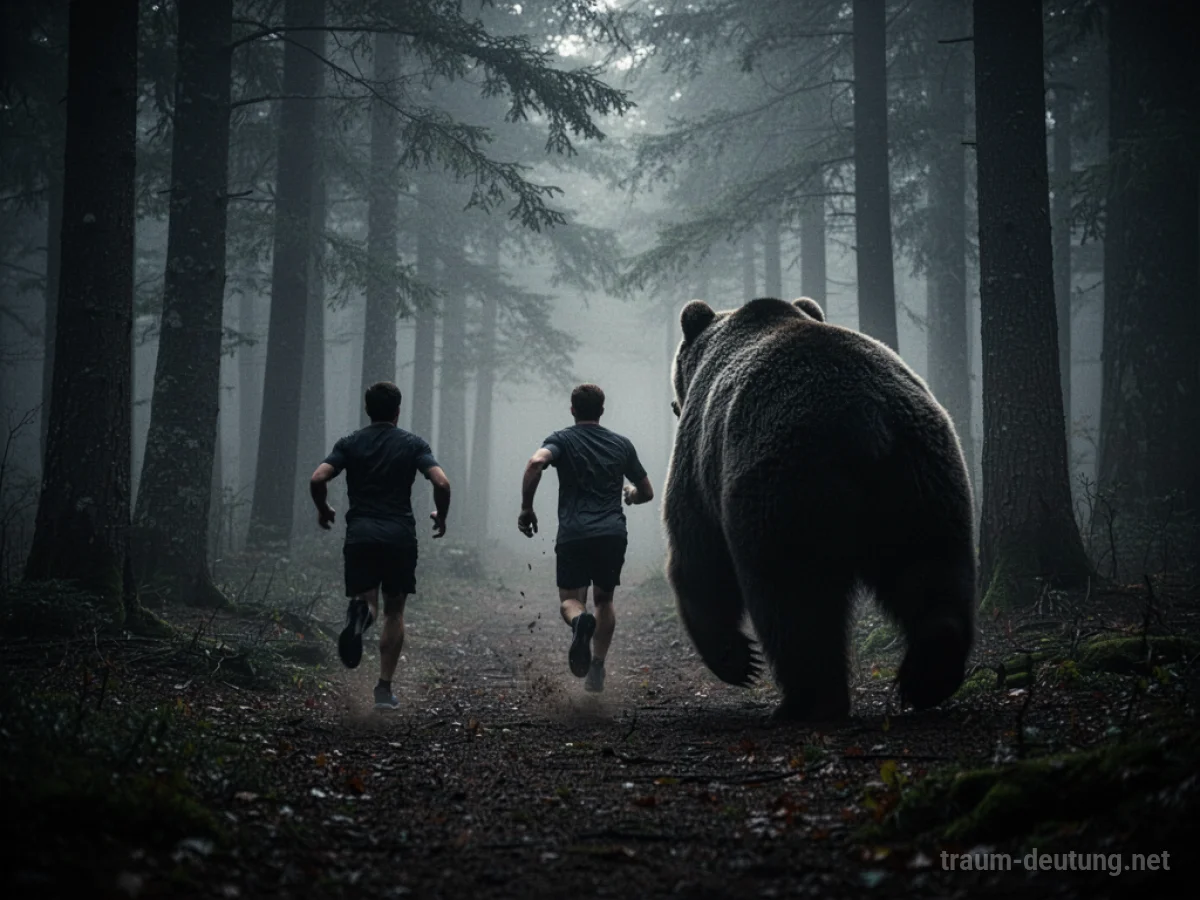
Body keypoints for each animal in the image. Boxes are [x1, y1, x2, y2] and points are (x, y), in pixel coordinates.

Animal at [663, 296, 976, 719]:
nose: (674, 405)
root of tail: (871, 420)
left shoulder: (699, 458)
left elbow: (698, 555)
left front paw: (735, 659)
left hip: (787, 486)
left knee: (795, 598)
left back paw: (807, 701)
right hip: (924, 476)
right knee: (933, 567)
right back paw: (928, 676)